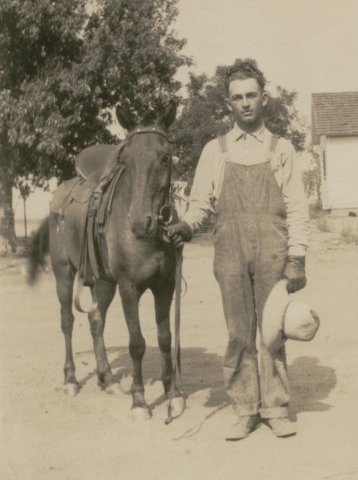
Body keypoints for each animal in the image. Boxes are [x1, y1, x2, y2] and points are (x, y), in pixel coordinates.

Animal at [28, 102, 185, 420]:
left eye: (165, 157)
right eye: (125, 159)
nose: (140, 223)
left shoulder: (165, 287)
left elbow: (165, 338)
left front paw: (172, 393)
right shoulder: (128, 288)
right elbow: (137, 343)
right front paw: (139, 400)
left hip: (102, 282)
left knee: (95, 320)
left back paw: (108, 378)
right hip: (64, 274)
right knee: (67, 321)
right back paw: (71, 379)